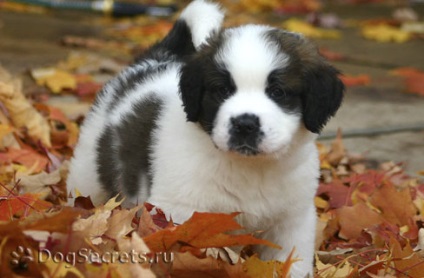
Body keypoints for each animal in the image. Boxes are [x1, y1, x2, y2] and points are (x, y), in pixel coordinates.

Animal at [67, 0, 344, 276]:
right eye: (222, 90)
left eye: (278, 92)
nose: (245, 124)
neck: (250, 168)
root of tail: (151, 62)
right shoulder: (178, 211)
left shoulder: (293, 220)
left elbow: (290, 261)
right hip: (88, 172)